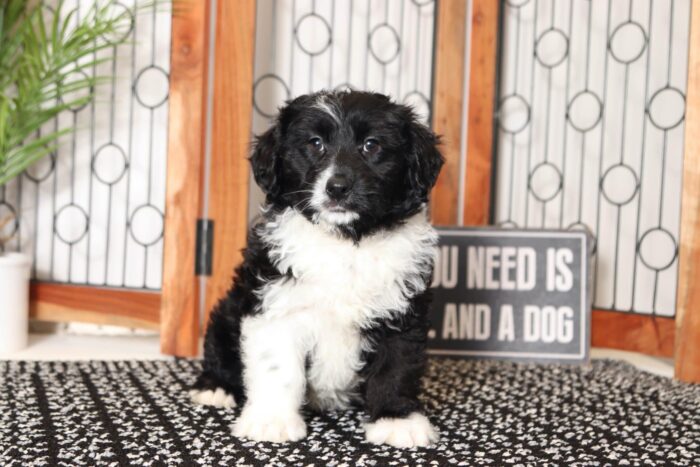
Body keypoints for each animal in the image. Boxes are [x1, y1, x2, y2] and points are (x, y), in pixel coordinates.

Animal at [190, 90, 442, 450]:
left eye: (371, 145)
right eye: (315, 143)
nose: (337, 187)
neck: (346, 242)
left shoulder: (403, 310)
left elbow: (396, 366)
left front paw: (396, 419)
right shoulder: (276, 304)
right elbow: (278, 367)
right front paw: (272, 421)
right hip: (229, 311)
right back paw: (214, 388)